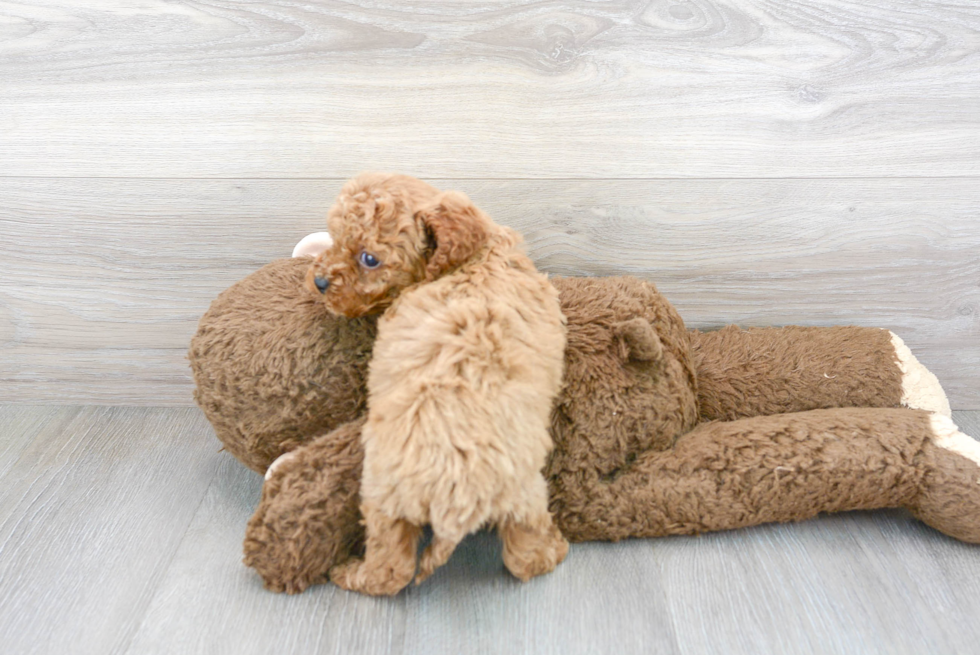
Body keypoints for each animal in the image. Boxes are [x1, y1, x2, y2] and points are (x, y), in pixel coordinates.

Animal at [304, 173, 568, 596]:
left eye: (369, 259)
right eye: (335, 236)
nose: (319, 281)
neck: (471, 259)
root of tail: (457, 497)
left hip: (384, 496)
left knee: (391, 570)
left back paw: (350, 573)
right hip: (522, 493)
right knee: (523, 556)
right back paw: (552, 550)